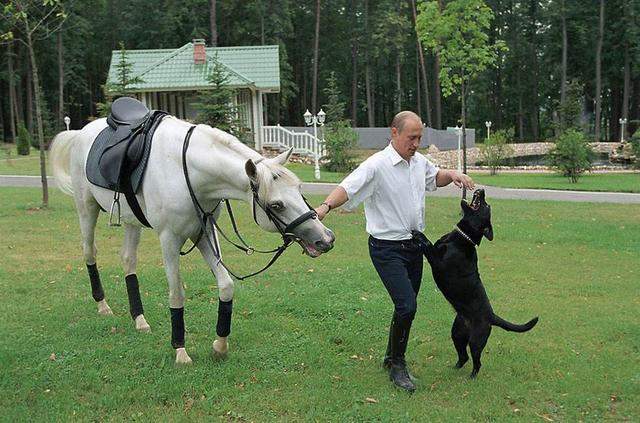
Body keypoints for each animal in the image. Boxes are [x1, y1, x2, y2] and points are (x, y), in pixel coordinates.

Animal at [50, 116, 336, 364]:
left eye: (299, 189)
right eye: (276, 205)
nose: (325, 239)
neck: (188, 173)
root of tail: (82, 133)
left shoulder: (203, 233)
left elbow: (226, 286)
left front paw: (220, 346)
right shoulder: (170, 240)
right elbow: (177, 294)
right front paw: (180, 351)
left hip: (132, 223)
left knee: (128, 260)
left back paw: (139, 319)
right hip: (86, 209)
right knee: (89, 252)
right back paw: (103, 306)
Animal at [412, 190, 536, 380]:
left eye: (486, 206)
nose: (482, 190)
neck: (462, 238)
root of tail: (492, 316)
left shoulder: (438, 262)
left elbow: (428, 245)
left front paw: (419, 235)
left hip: (476, 341)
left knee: (477, 361)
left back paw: (472, 377)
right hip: (457, 334)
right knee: (463, 357)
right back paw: (454, 369)